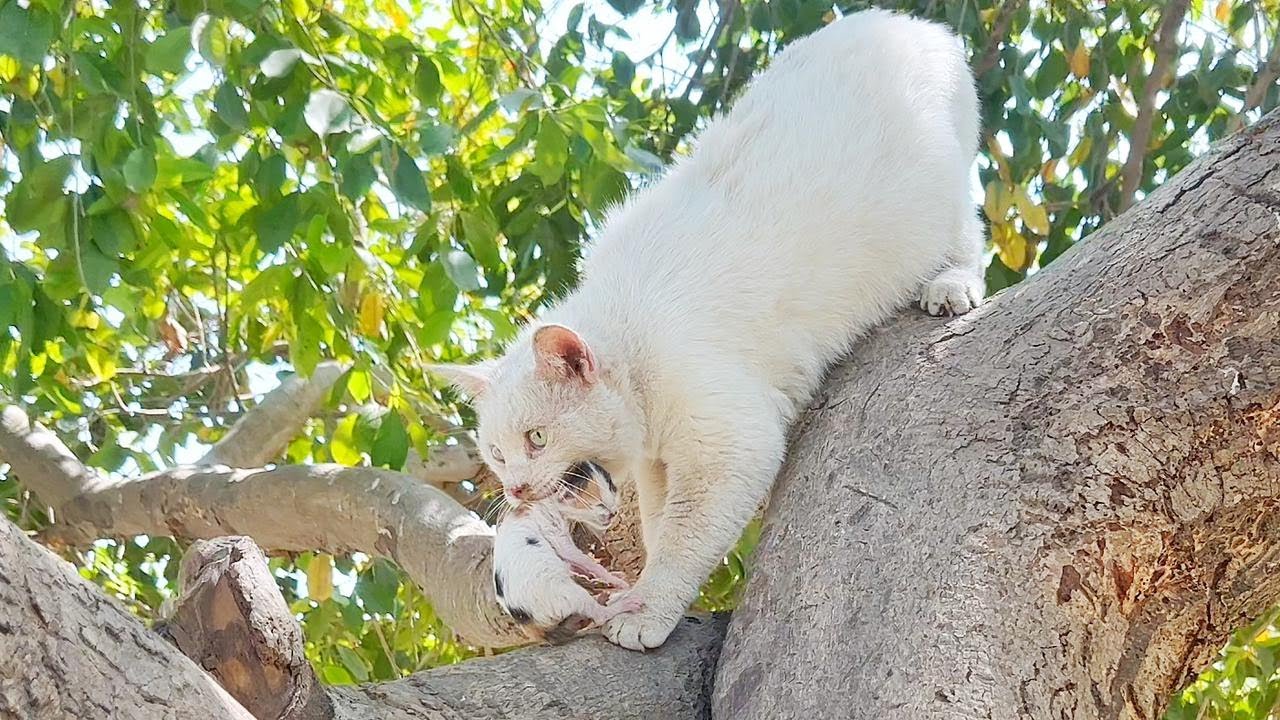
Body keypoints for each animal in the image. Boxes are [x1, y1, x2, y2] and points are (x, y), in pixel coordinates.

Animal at [435, 9, 983, 650]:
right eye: (496, 454)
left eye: (538, 438)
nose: (516, 489)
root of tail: (910, 22)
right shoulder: (656, 466)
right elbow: (658, 523)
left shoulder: (730, 439)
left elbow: (685, 536)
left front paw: (648, 609)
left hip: (941, 193)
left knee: (969, 238)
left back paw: (951, 285)